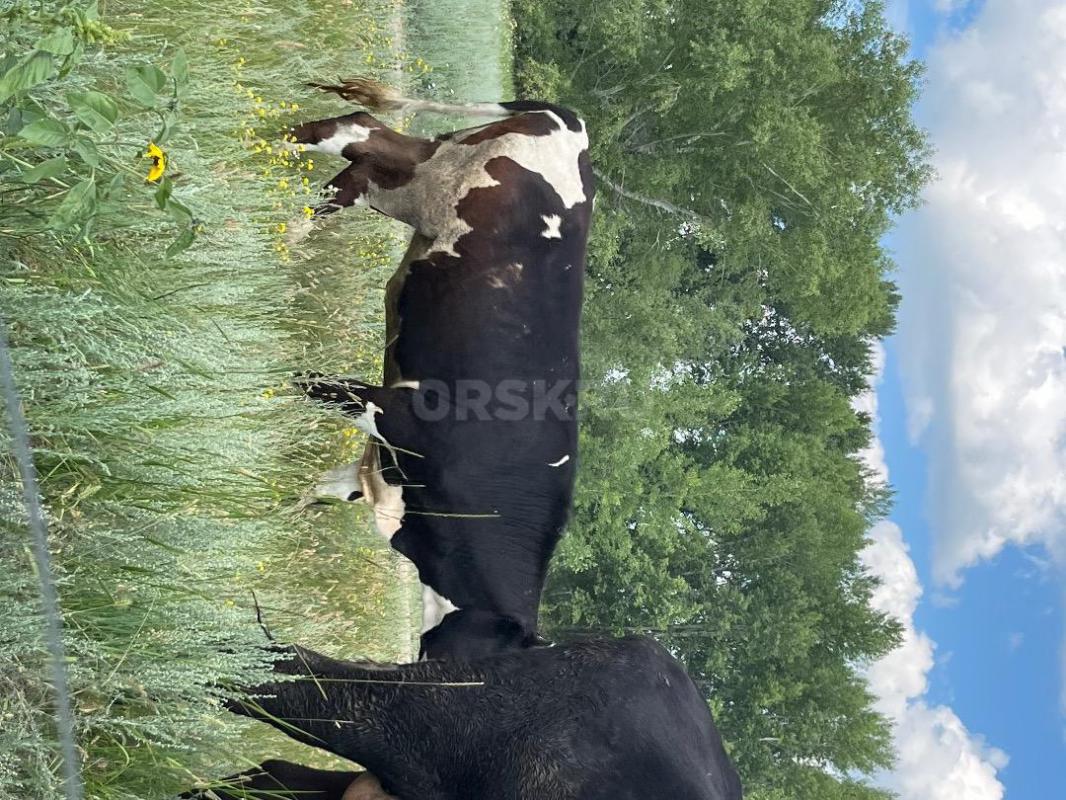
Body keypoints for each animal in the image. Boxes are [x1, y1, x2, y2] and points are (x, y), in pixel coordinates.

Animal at [289, 78, 593, 661]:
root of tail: (574, 124)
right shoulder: (395, 413)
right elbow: (307, 384)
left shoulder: (376, 476)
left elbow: (308, 493)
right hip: (438, 181)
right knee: (360, 131)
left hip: (409, 194)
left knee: (363, 150)